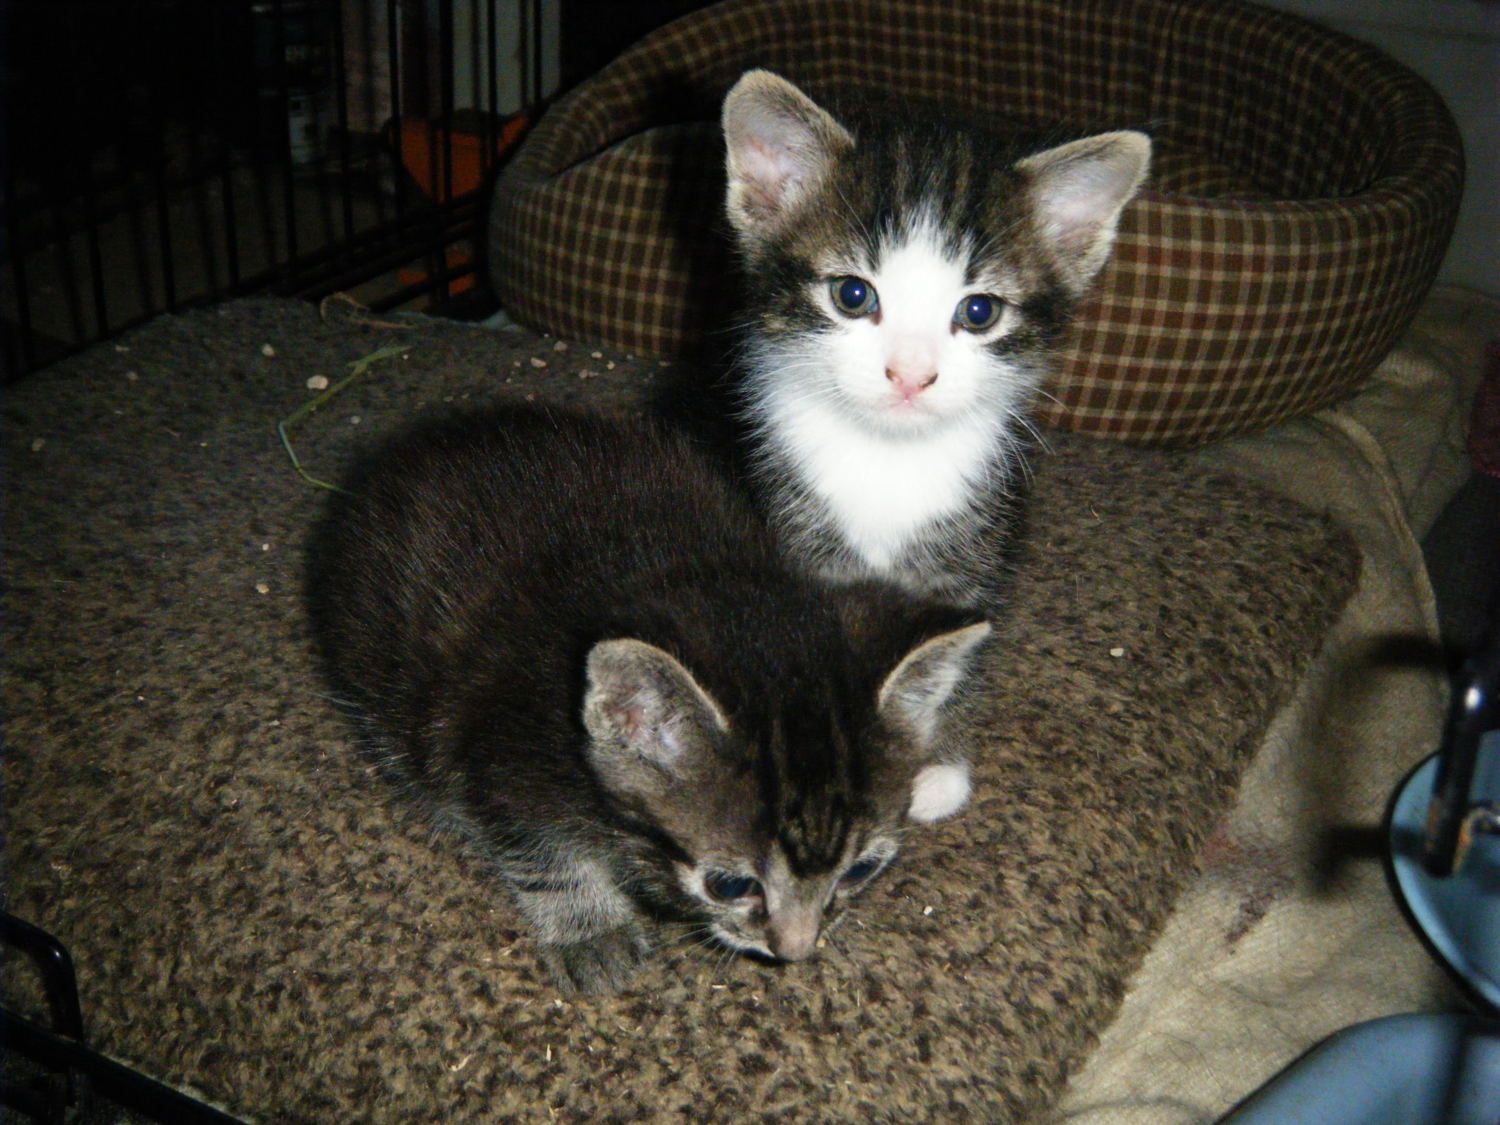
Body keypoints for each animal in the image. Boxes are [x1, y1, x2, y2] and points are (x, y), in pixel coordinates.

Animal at [308, 405, 991, 993]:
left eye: (859, 871)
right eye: (729, 885)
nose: (794, 951)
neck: (688, 572)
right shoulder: (505, 749)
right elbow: (540, 849)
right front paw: (590, 930)